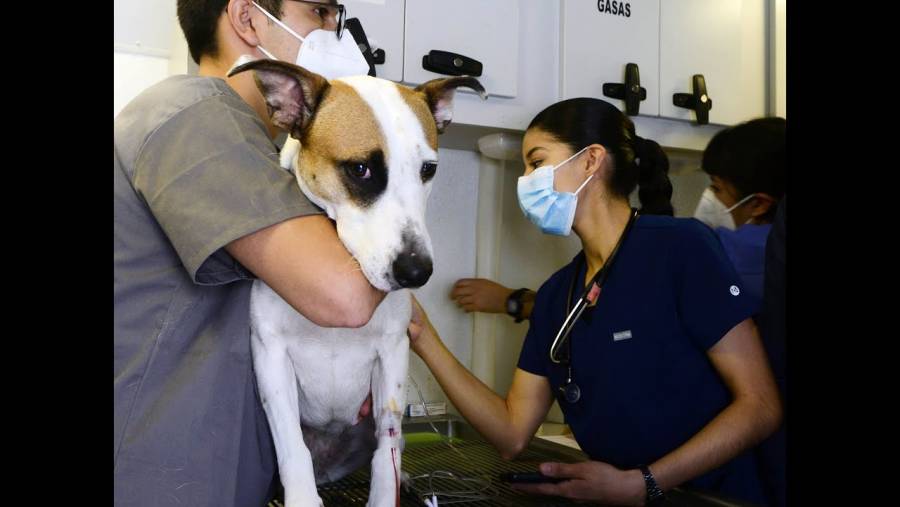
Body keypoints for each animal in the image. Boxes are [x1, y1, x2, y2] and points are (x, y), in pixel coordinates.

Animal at [229, 60, 486, 507]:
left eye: (429, 169)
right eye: (360, 169)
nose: (417, 272)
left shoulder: (392, 353)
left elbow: (388, 448)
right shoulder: (271, 354)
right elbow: (292, 447)